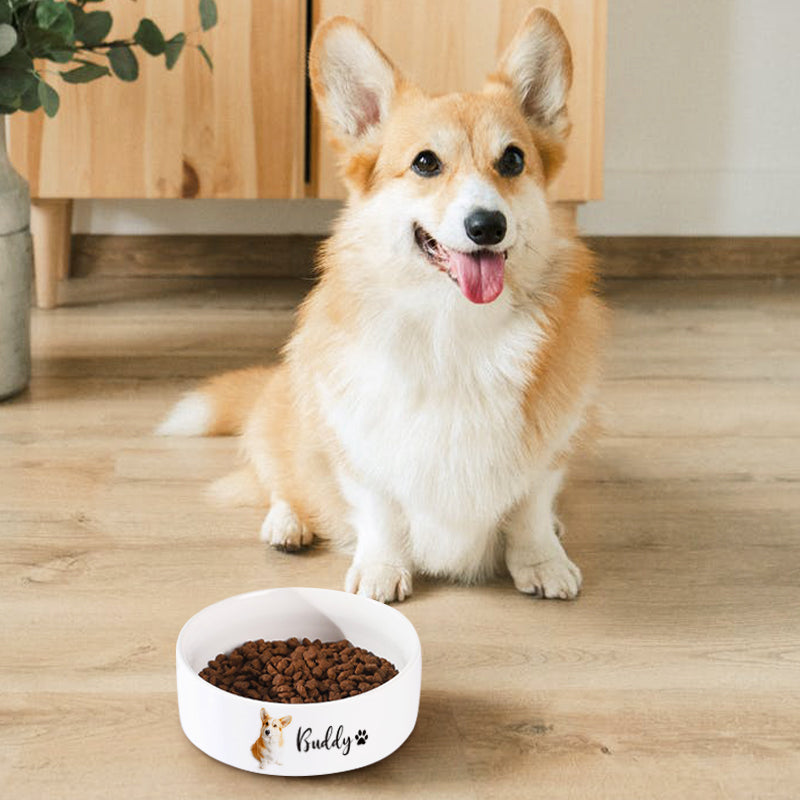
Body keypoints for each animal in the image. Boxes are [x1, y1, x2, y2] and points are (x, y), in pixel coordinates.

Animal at [156, 10, 608, 600]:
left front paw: (542, 561)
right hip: (290, 414)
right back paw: (288, 523)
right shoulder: (360, 448)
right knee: (277, 478)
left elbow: (530, 505)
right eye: (425, 163)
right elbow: (380, 511)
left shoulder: (549, 450)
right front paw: (380, 570)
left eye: (512, 159)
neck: (455, 327)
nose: (487, 226)